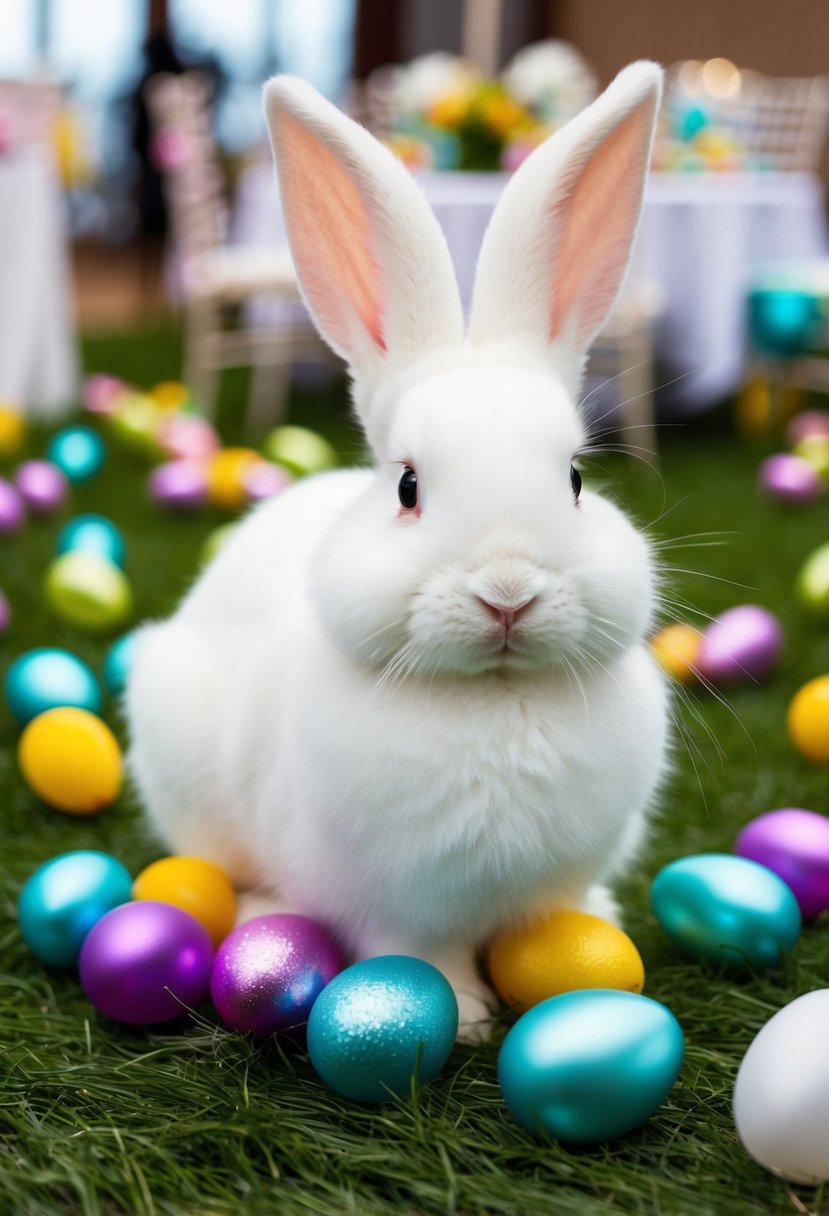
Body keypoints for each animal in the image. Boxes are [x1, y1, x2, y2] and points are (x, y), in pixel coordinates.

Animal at [127, 61, 666, 1040]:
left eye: (573, 478)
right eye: (408, 486)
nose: (507, 593)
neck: (492, 699)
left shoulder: (556, 880)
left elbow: (556, 923)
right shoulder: (394, 906)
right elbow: (419, 956)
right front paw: (463, 1018)